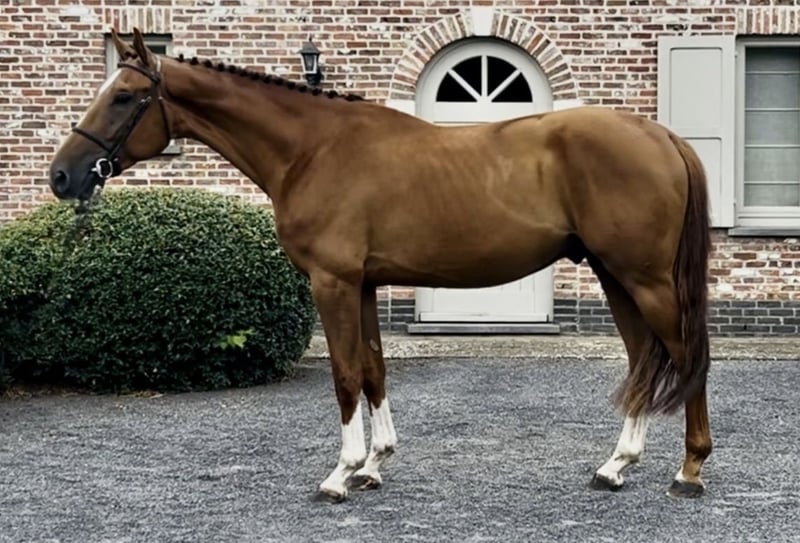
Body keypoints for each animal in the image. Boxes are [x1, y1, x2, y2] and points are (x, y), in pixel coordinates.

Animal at [48, 27, 713, 502]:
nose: (62, 177)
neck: (311, 151)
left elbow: (345, 374)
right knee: (643, 360)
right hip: (615, 276)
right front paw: (374, 464)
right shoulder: (364, 285)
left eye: (124, 97)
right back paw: (616, 466)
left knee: (686, 360)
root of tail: (662, 136)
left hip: (646, 280)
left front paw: (340, 475)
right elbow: (373, 370)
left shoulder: (332, 283)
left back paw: (689, 471)